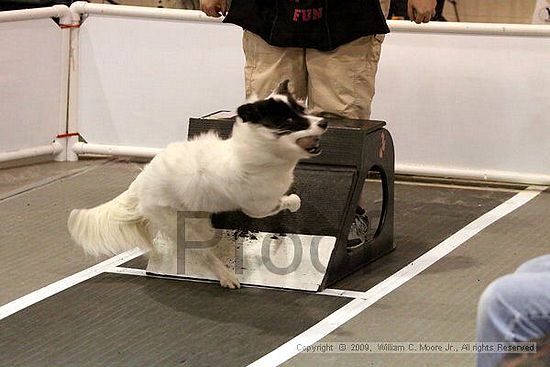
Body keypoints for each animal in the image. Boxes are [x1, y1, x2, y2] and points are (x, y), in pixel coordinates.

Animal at [68, 81, 328, 290]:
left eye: (301, 109)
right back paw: (226, 277)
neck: (257, 151)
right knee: (204, 253)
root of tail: (141, 181)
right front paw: (293, 203)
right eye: (289, 121)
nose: (324, 122)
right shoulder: (257, 206)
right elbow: (286, 201)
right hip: (182, 225)